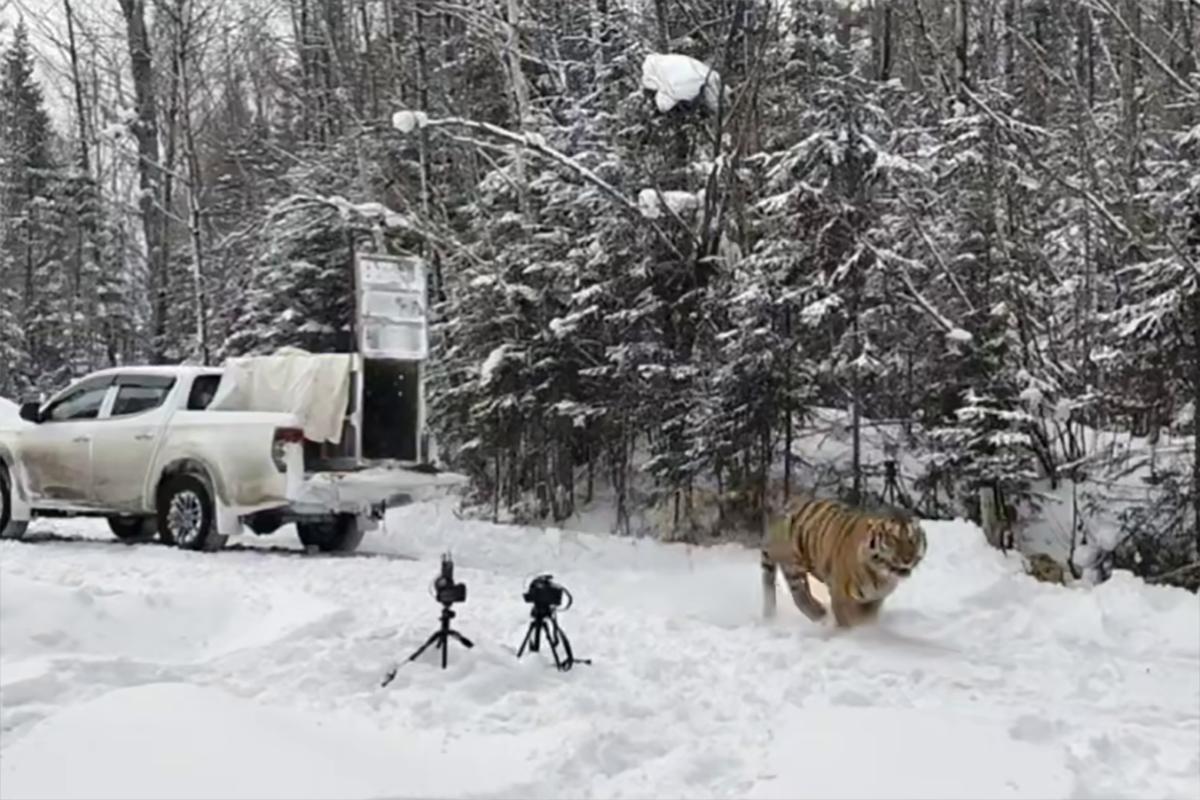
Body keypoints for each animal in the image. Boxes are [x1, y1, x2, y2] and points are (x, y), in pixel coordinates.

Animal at [758, 496, 926, 628]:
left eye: (913, 539)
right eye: (892, 539)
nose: (908, 558)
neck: (881, 574)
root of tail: (785, 505)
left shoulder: (876, 598)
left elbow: (867, 616)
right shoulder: (841, 595)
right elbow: (847, 620)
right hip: (792, 562)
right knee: (798, 592)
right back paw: (819, 613)